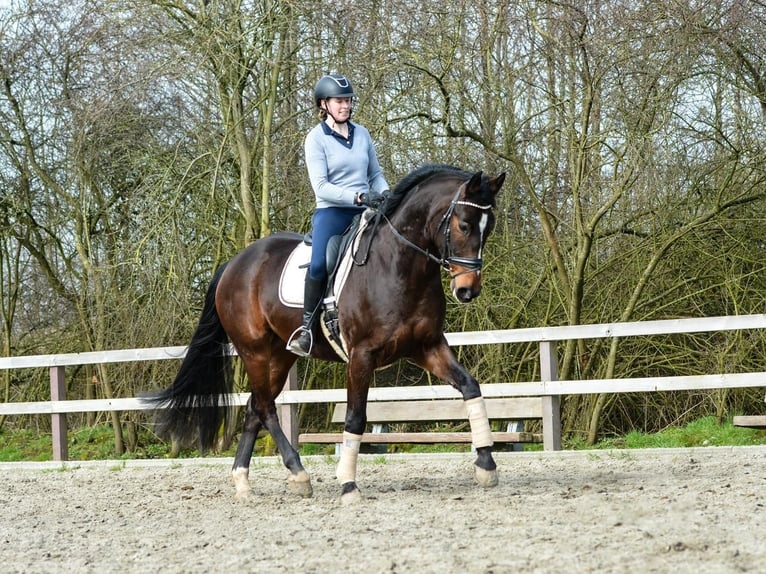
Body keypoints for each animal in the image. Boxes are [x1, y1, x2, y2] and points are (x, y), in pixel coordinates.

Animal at [150, 163, 510, 504]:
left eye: (489, 227)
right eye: (464, 225)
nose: (468, 290)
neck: (399, 265)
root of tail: (234, 264)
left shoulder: (427, 345)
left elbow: (470, 386)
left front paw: (486, 465)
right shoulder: (361, 355)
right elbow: (355, 418)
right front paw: (348, 485)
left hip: (280, 356)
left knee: (255, 407)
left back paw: (246, 481)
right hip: (254, 351)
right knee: (265, 408)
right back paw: (297, 473)